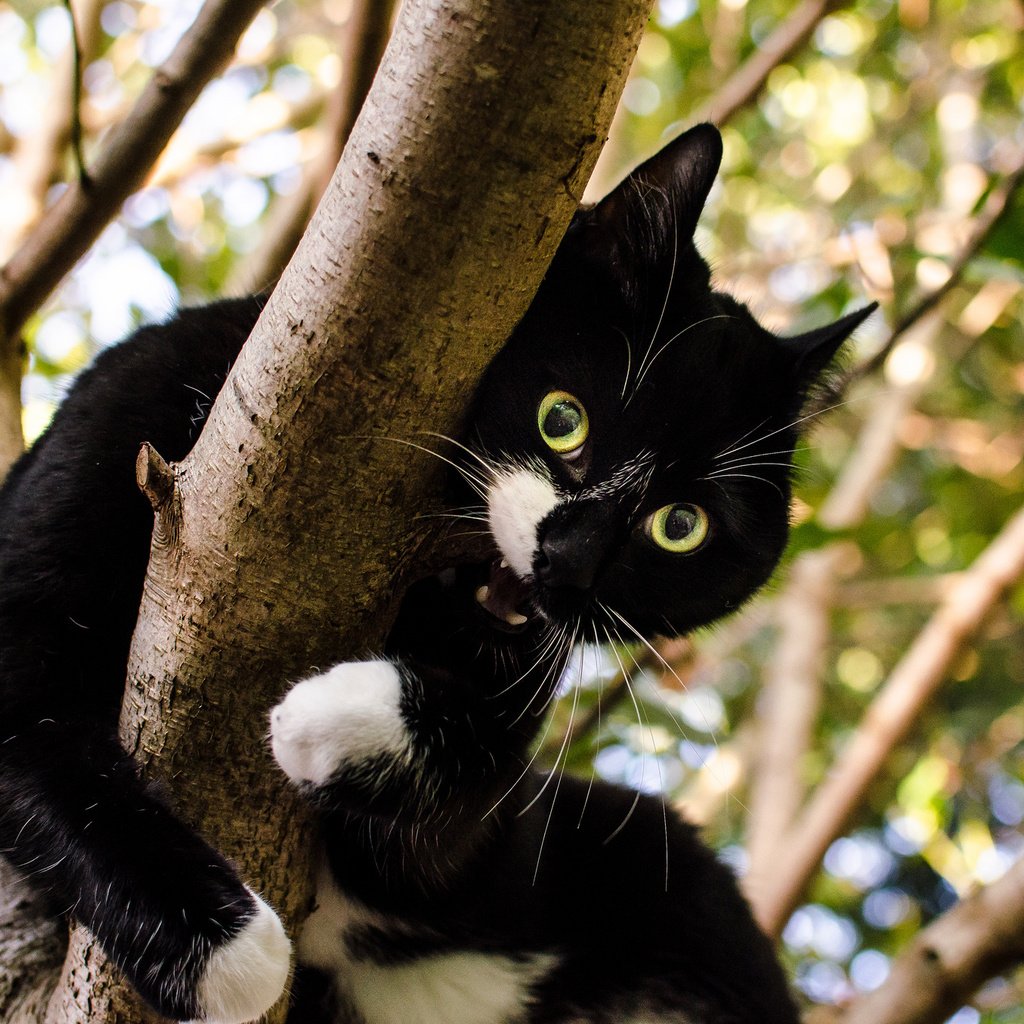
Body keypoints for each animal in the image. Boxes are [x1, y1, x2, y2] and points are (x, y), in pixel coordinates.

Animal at [2, 121, 872, 1024]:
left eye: (681, 526)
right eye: (562, 420)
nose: (571, 562)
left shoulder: (496, 846)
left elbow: (482, 773)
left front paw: (327, 717)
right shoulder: (122, 425)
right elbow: (38, 738)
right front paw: (224, 951)